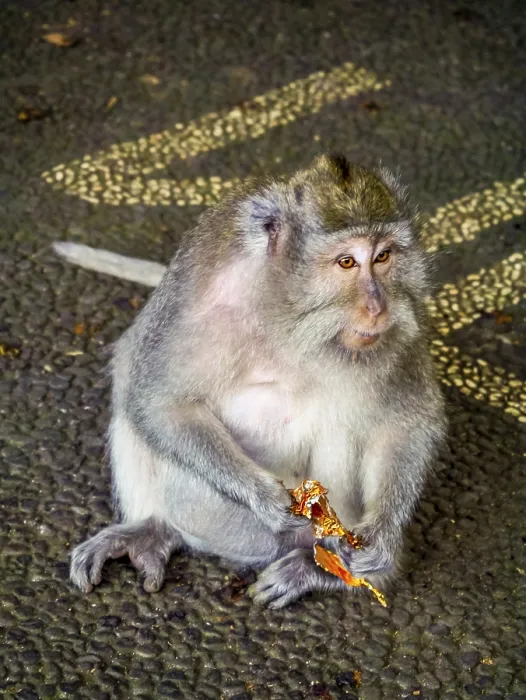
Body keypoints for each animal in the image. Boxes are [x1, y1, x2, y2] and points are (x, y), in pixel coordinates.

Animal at [61, 154, 446, 608]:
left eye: (384, 256)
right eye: (347, 262)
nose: (377, 307)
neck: (286, 312)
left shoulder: (405, 322)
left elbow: (407, 424)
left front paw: (382, 539)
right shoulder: (203, 295)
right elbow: (157, 401)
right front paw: (264, 497)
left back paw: (322, 569)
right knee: (128, 378)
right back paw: (155, 528)